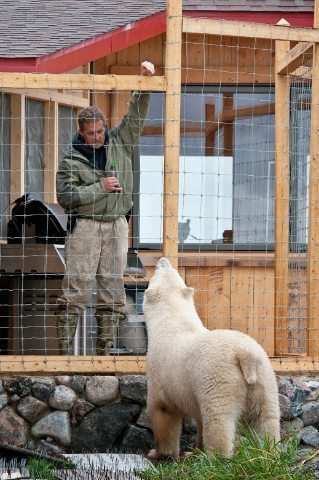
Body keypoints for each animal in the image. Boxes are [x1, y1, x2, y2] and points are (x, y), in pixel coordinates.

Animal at [144, 256, 282, 460]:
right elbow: (199, 419)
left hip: (219, 377)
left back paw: (216, 458)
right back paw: (269, 452)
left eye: (157, 271)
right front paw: (194, 450)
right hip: (264, 376)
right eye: (175, 271)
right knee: (266, 418)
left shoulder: (160, 373)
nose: (163, 259)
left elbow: (162, 411)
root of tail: (244, 354)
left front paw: (158, 453)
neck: (173, 324)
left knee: (218, 419)